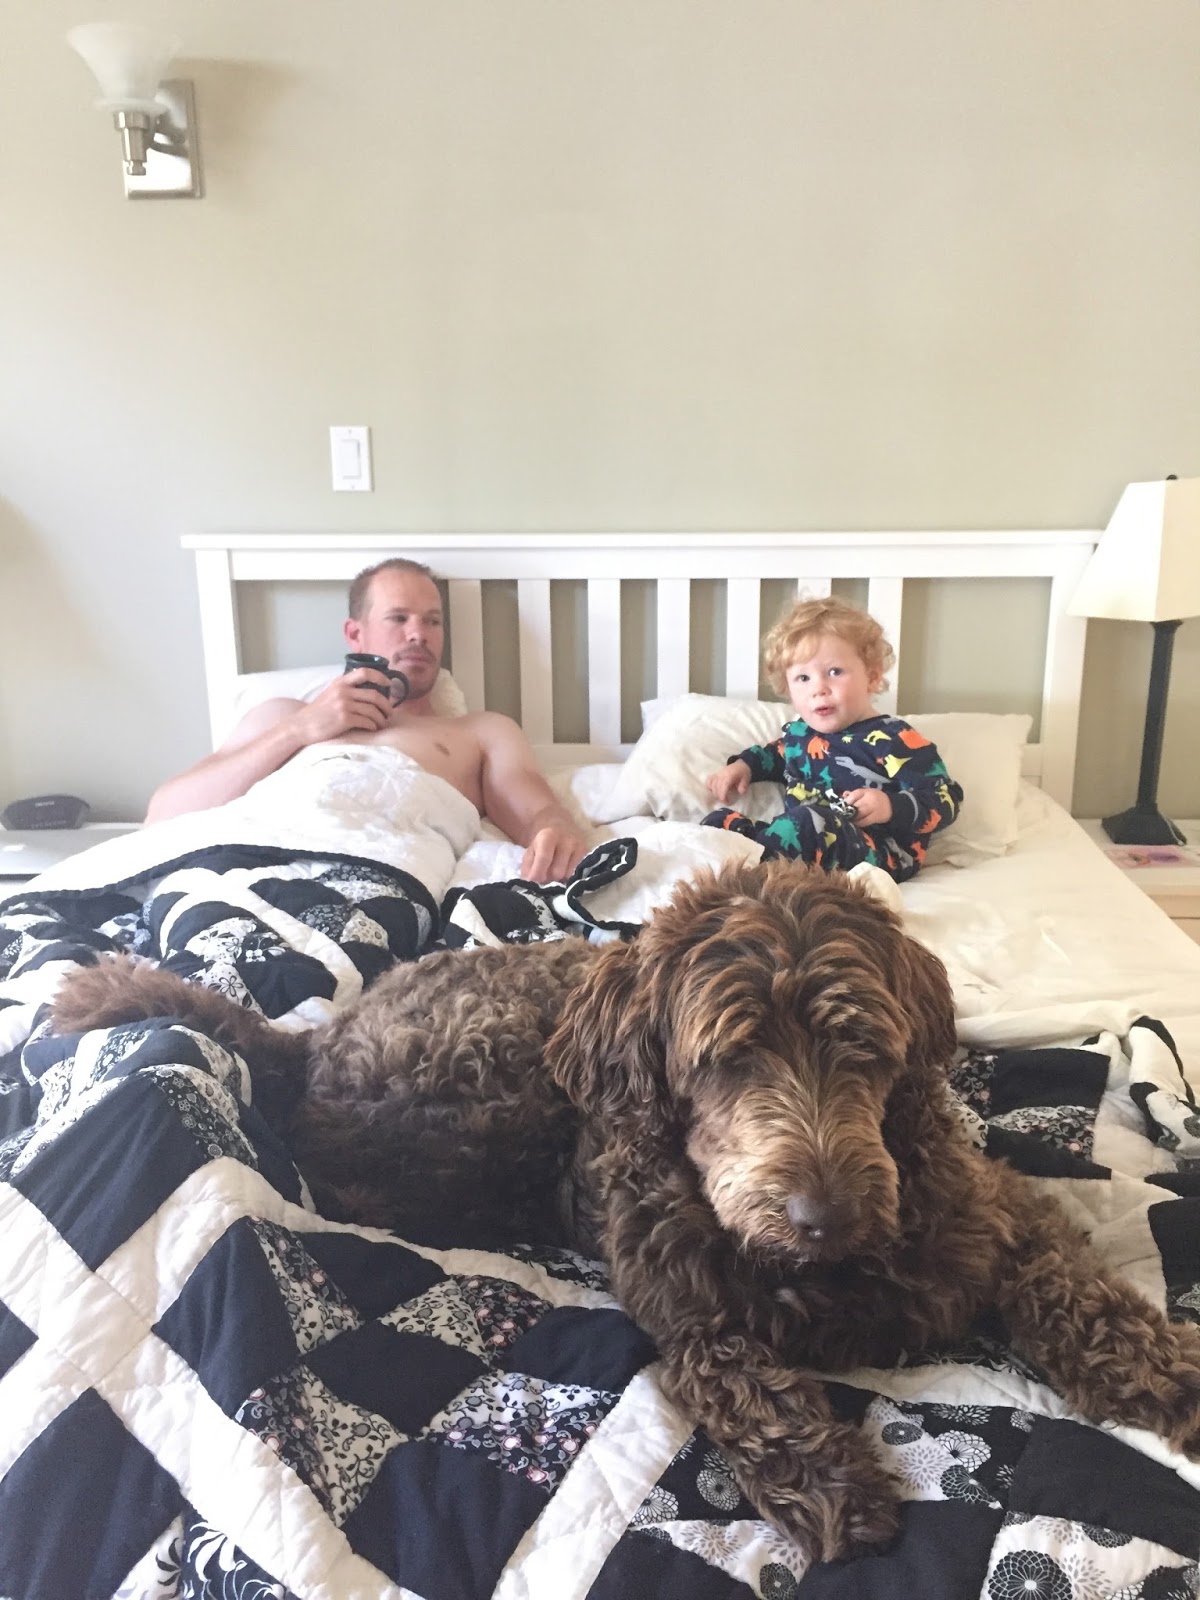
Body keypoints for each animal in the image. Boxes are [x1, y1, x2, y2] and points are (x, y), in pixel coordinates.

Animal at [50, 859, 1200, 1565]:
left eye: (862, 1046)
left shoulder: (992, 1207)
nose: (822, 1213)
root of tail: (312, 1037)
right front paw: (836, 1481)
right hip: (492, 1082)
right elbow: (745, 1385)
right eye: (731, 1057)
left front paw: (1159, 1368)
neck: (826, 1267)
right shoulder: (688, 1311)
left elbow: (1069, 1281)